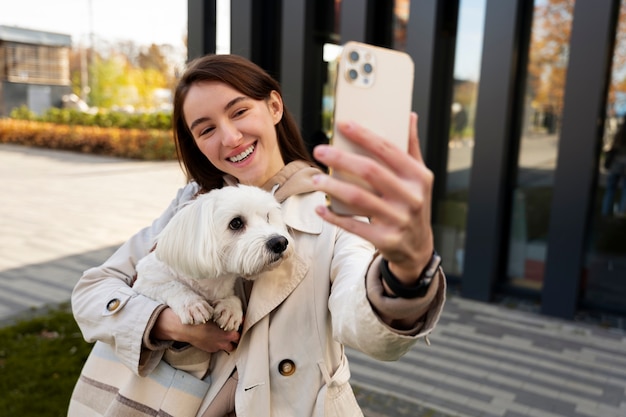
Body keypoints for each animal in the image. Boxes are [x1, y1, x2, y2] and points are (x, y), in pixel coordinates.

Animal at [133, 184, 292, 332]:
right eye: (236, 223)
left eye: (268, 217)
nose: (279, 242)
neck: (211, 281)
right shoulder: (145, 282)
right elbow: (171, 285)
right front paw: (192, 304)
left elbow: (231, 298)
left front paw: (231, 308)